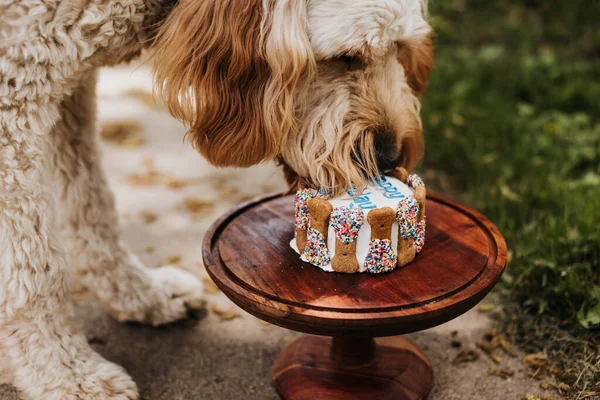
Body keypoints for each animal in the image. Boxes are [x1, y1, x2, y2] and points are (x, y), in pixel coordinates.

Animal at [0, 0, 432, 398]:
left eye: (399, 49)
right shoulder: (15, 93)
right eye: (345, 58)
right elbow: (35, 267)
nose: (390, 157)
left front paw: (139, 293)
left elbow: (90, 202)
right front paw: (67, 375)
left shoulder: (70, 86)